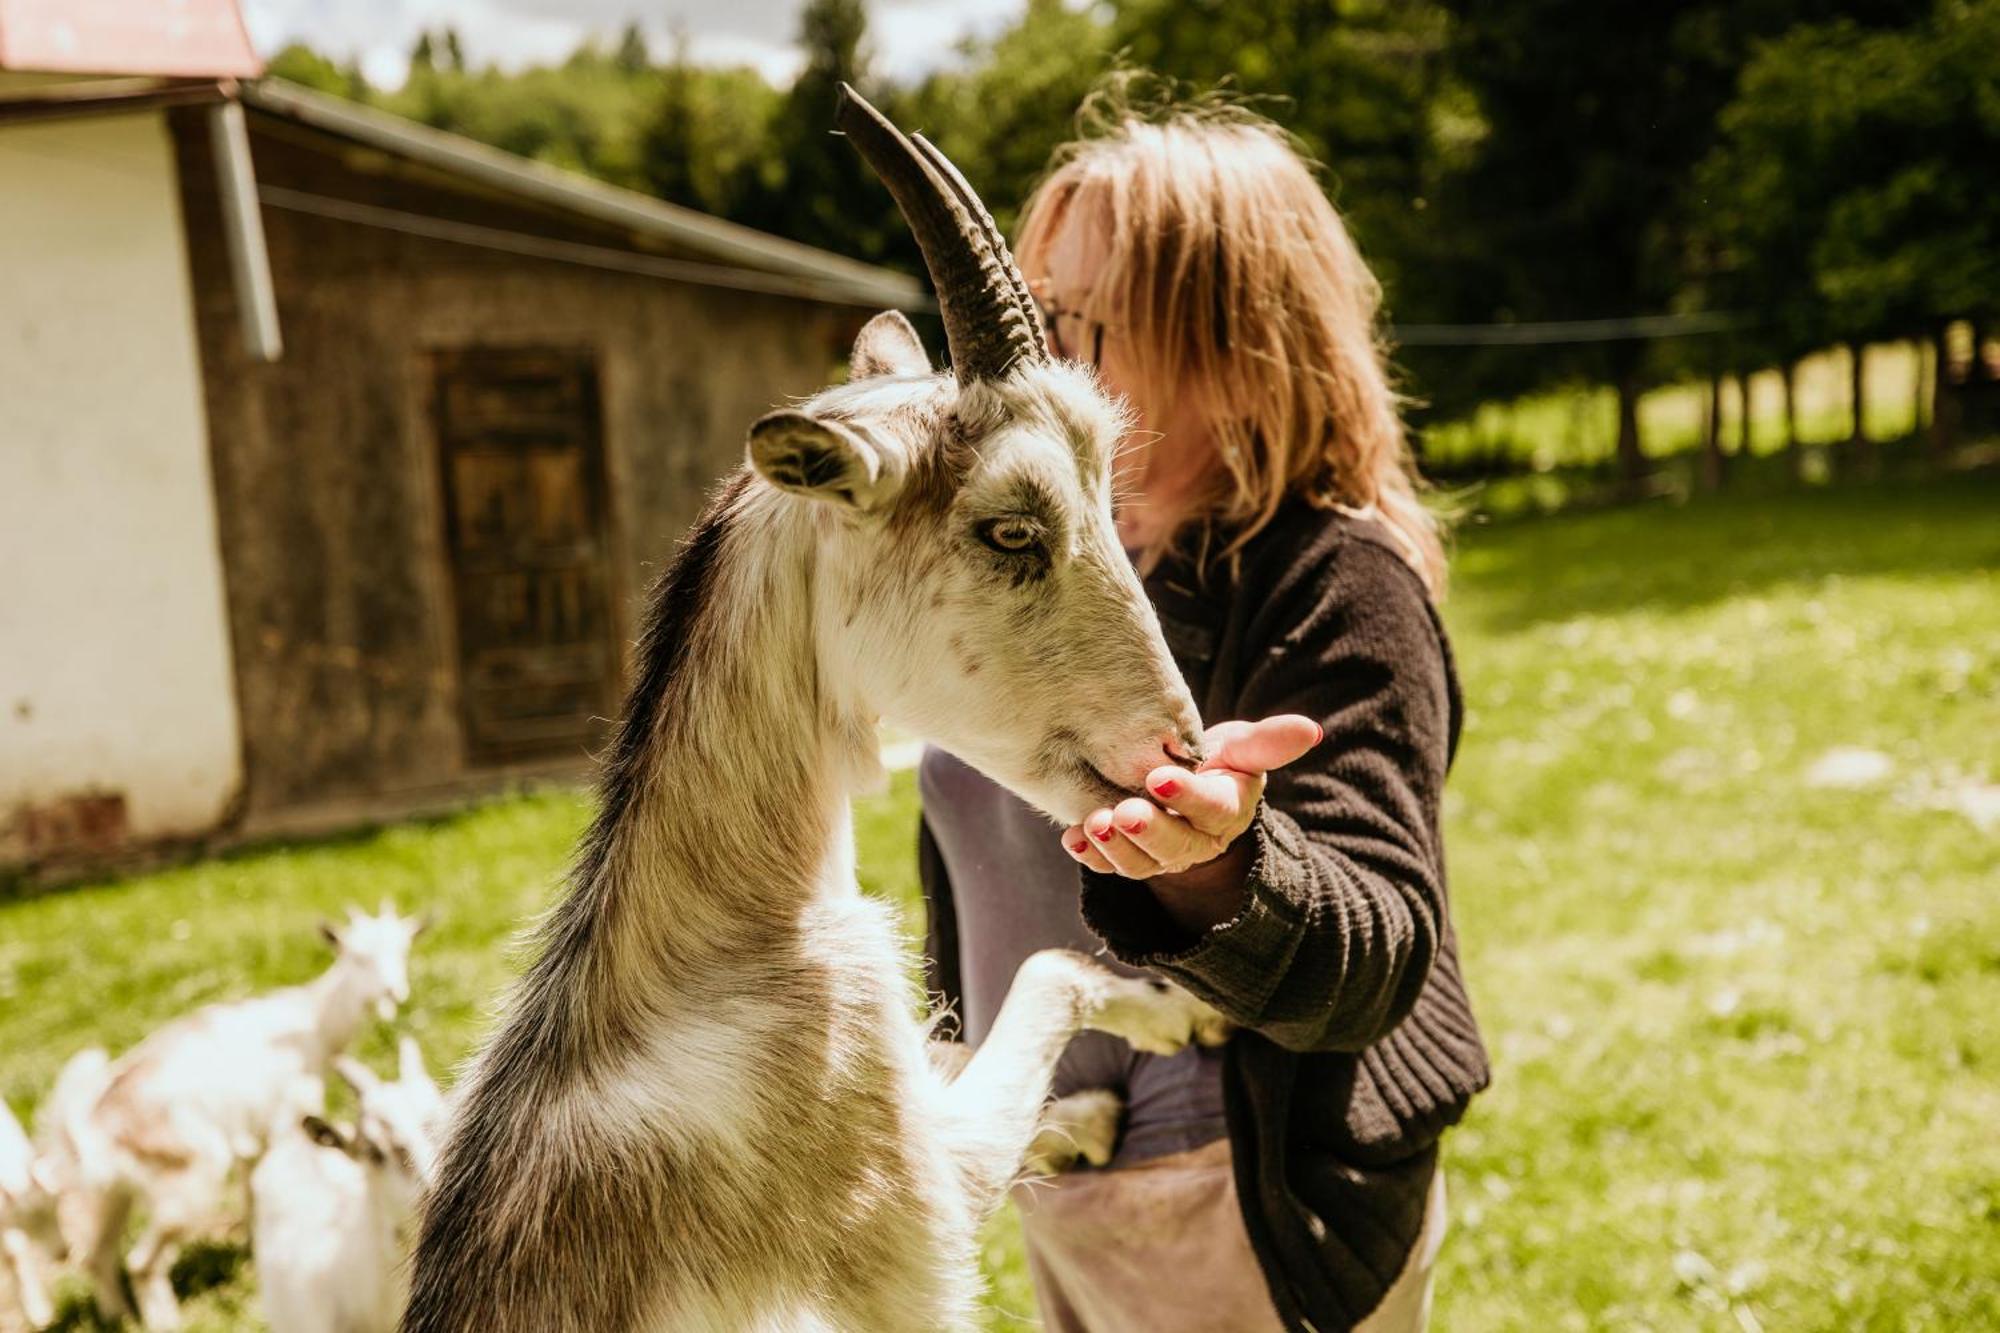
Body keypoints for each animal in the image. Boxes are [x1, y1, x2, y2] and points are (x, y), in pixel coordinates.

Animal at [74, 896, 426, 1320]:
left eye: (403, 949)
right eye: (356, 956)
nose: (394, 991)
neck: (311, 1021)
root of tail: (96, 1126)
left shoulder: (252, 1137)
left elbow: (248, 1181)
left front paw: (249, 1241)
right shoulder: (285, 1113)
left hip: (113, 1194)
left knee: (97, 1253)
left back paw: (117, 1315)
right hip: (189, 1180)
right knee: (141, 1261)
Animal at [400, 88, 1224, 1320]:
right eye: (1011, 529)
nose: (1178, 745)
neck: (718, 944)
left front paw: (1117, 1081)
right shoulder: (909, 1221)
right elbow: (1043, 972)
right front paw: (1165, 1020)